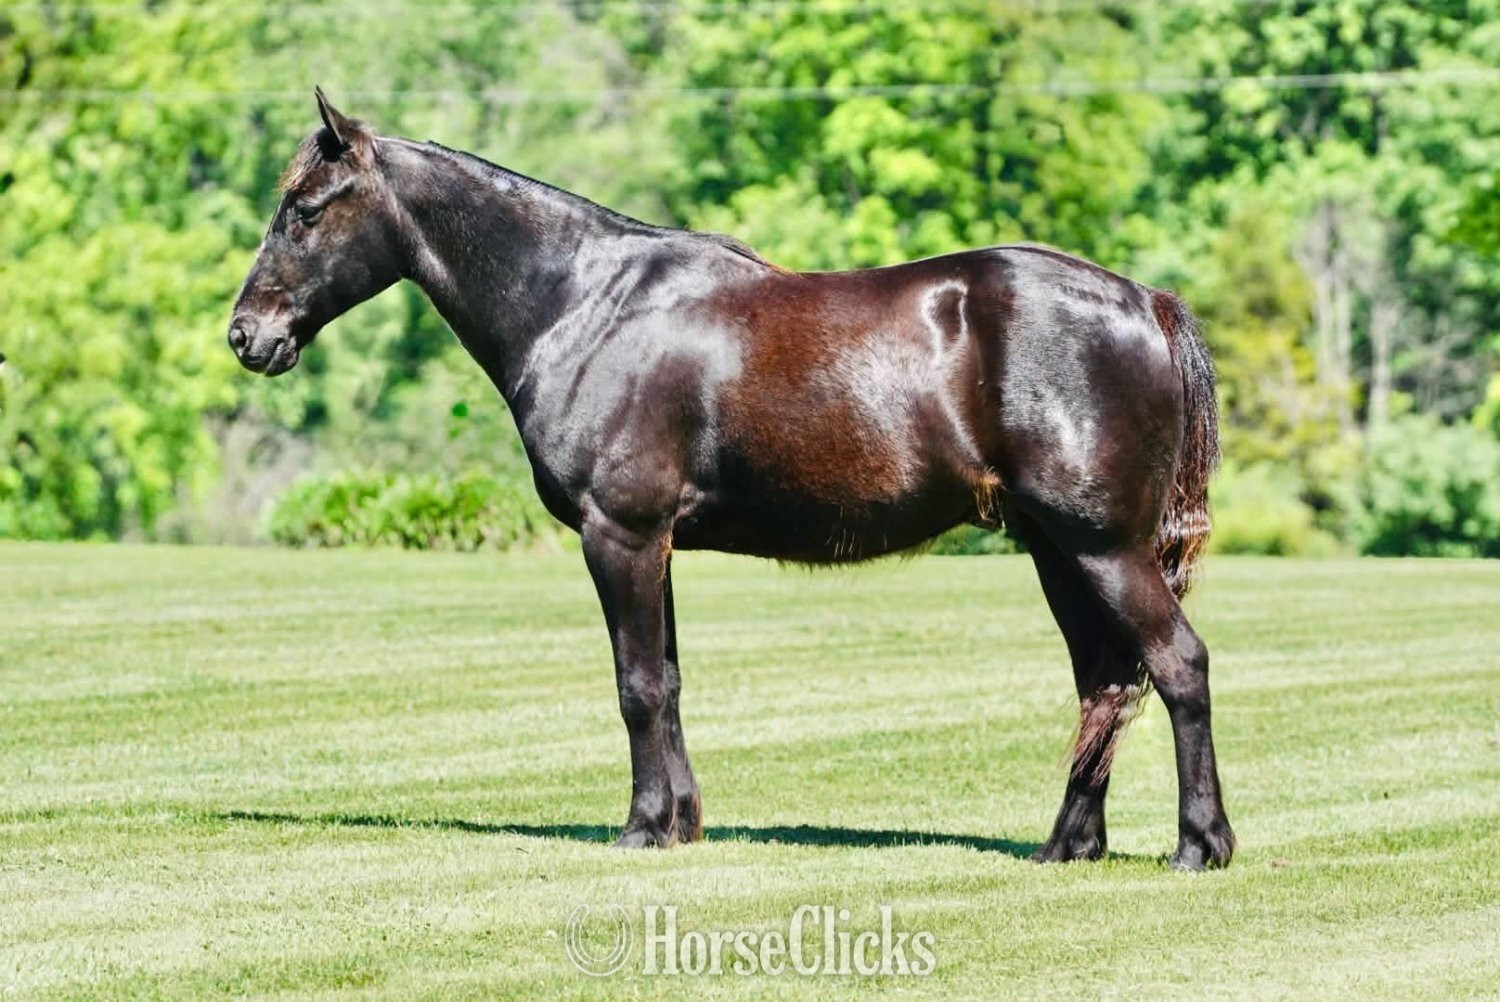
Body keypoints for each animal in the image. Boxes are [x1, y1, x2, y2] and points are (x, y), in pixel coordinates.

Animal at [228, 89, 1234, 870]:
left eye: (306, 209)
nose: (247, 335)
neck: (585, 305)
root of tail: (1145, 302)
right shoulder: (656, 542)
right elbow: (669, 682)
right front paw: (680, 825)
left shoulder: (620, 532)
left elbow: (636, 684)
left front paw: (640, 829)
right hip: (1057, 550)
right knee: (1105, 681)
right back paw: (1069, 845)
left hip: (1102, 547)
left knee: (1176, 664)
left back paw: (1199, 844)